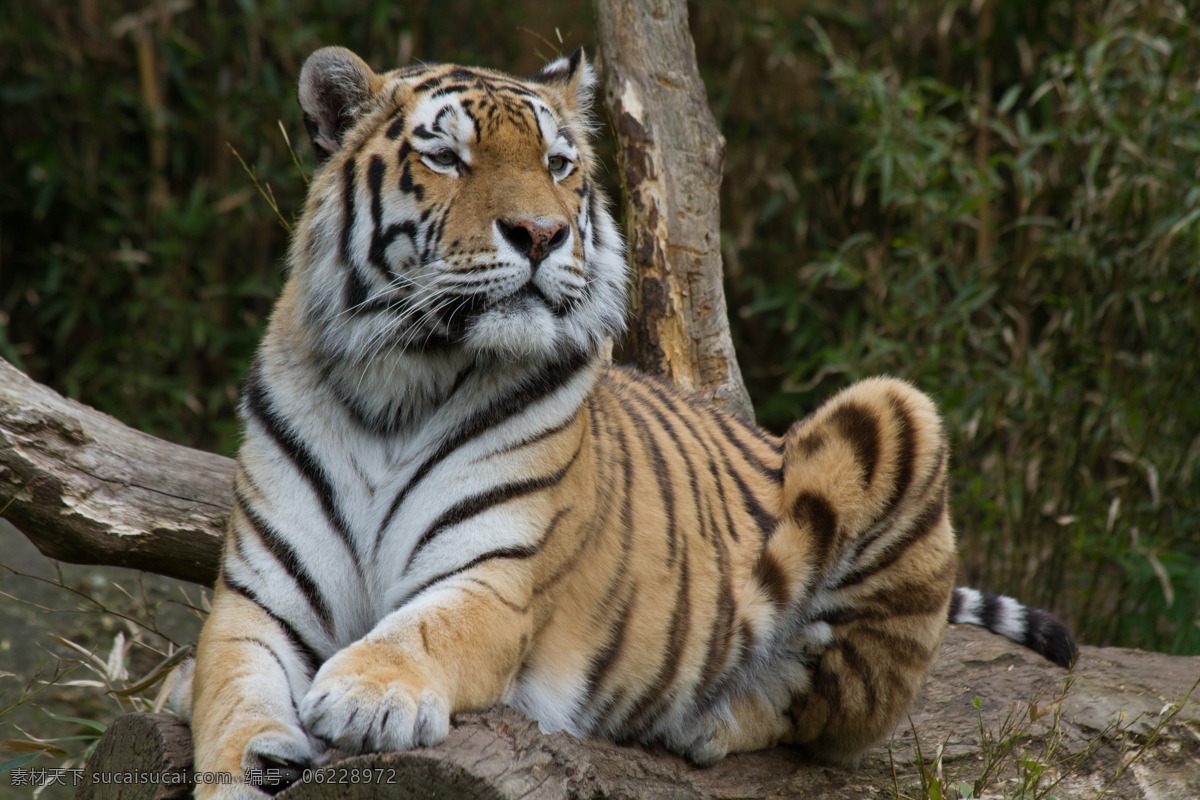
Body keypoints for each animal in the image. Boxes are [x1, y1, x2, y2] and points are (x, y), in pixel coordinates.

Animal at [182, 45, 1076, 798]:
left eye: (558, 164)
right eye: (446, 158)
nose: (541, 234)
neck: (397, 381)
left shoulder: (494, 576)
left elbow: (420, 630)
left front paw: (364, 694)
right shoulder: (258, 596)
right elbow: (227, 691)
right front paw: (247, 756)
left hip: (896, 413)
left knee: (827, 710)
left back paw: (713, 717)